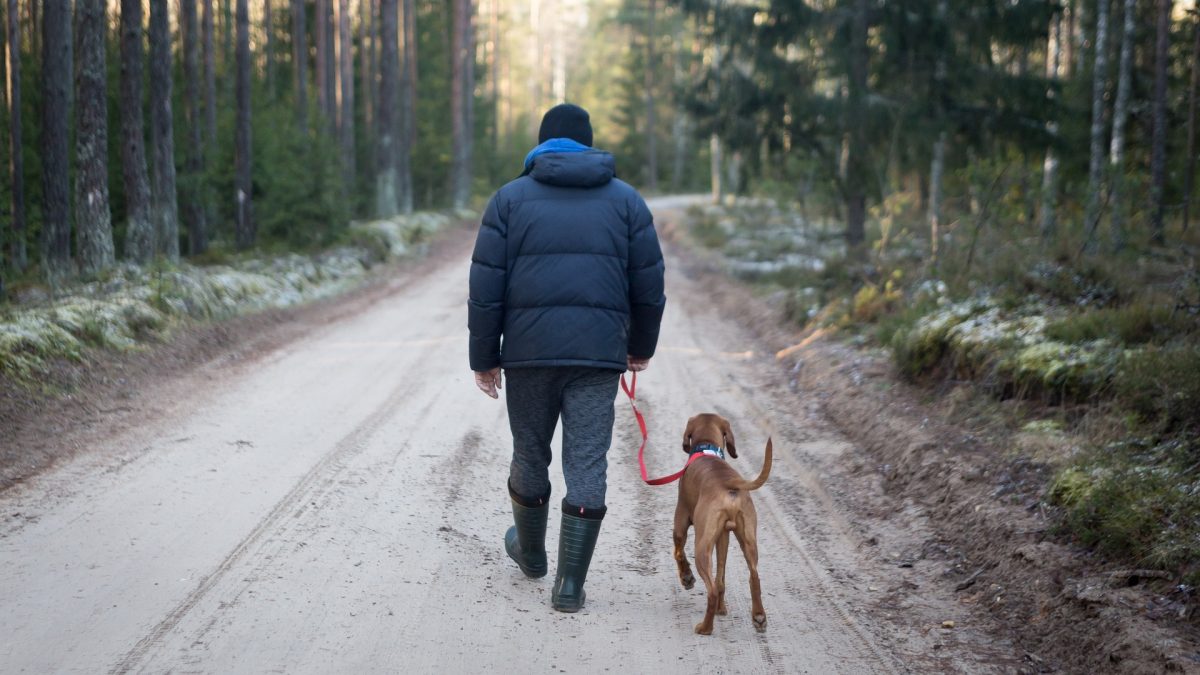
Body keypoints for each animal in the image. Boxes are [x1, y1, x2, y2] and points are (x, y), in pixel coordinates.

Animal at [672, 413, 772, 634]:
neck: (707, 447)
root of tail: (729, 483)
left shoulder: (681, 521)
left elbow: (678, 552)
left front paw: (687, 577)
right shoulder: (723, 537)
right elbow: (721, 578)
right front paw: (722, 609)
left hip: (702, 546)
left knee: (711, 590)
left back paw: (705, 628)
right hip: (748, 541)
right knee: (753, 577)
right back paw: (758, 617)